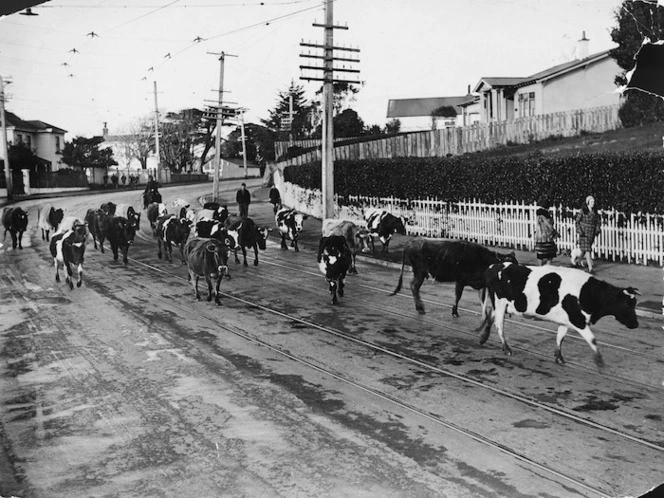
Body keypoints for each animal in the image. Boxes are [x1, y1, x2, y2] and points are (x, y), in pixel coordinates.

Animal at [390, 240, 520, 318]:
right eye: (509, 266)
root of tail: (410, 243)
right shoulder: (460, 281)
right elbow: (458, 296)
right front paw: (455, 312)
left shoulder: (481, 285)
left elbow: (483, 300)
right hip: (420, 273)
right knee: (414, 286)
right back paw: (420, 308)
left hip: (419, 273)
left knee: (414, 287)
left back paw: (419, 308)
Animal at [480, 264, 640, 366]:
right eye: (627, 304)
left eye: (634, 304)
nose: (636, 324)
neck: (588, 292)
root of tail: (493, 267)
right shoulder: (578, 320)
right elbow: (592, 339)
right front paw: (599, 361)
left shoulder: (566, 321)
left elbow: (560, 337)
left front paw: (559, 357)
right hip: (501, 304)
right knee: (499, 325)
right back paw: (506, 348)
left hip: (503, 306)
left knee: (490, 315)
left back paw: (483, 337)